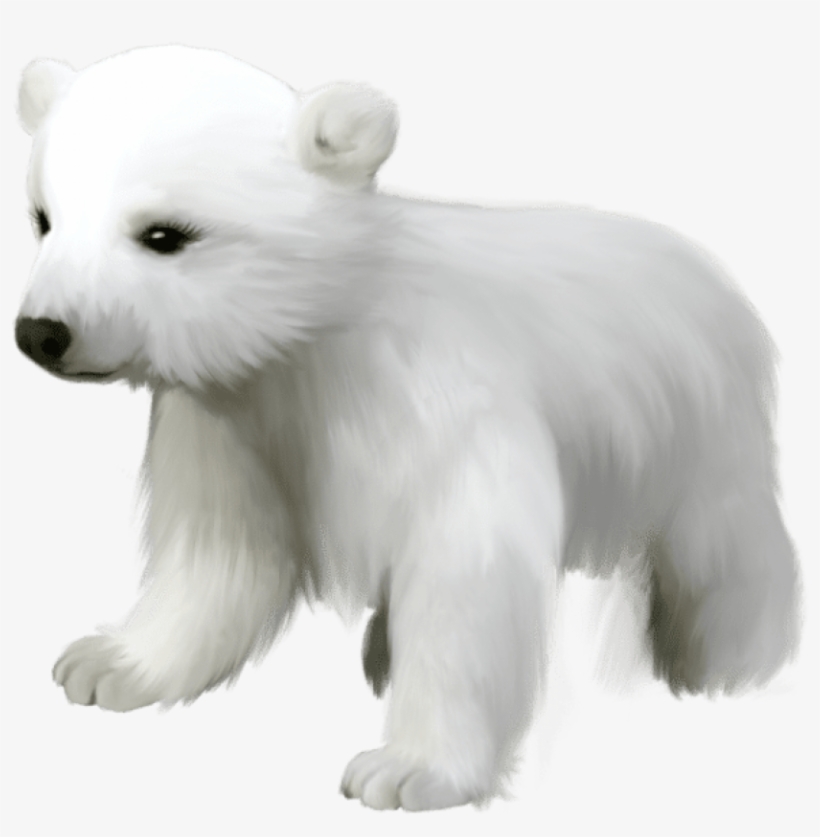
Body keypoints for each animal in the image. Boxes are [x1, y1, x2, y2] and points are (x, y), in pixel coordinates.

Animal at [15, 45, 798, 811]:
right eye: (43, 217)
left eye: (165, 234)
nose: (42, 332)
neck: (321, 338)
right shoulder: (235, 420)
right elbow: (219, 554)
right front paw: (109, 662)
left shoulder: (440, 404)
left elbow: (465, 572)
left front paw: (406, 770)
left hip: (698, 421)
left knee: (720, 547)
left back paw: (729, 663)